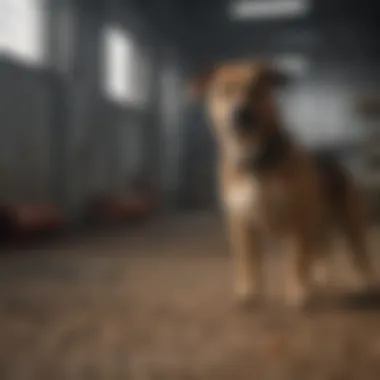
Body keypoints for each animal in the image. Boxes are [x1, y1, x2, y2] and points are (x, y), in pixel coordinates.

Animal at [191, 60, 376, 308]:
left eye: (256, 87)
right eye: (223, 91)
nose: (240, 113)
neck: (255, 159)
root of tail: (334, 161)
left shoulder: (297, 219)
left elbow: (297, 258)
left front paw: (298, 290)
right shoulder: (242, 223)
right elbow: (248, 261)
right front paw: (249, 290)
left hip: (349, 221)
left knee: (358, 253)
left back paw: (364, 282)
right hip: (318, 223)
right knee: (320, 250)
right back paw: (319, 276)